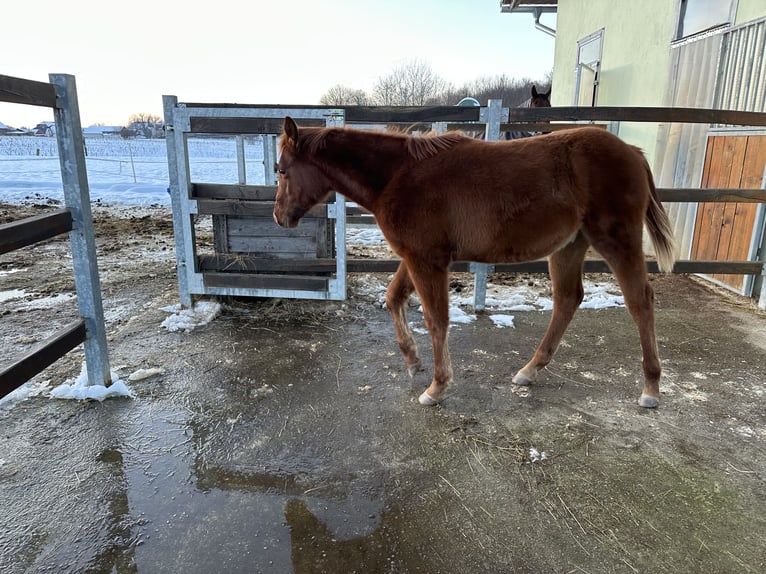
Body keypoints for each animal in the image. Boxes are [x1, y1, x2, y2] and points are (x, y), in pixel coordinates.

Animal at [273, 117, 676, 408]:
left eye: (281, 170)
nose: (279, 217)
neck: (398, 176)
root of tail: (633, 152)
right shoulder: (416, 256)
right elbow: (393, 297)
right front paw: (413, 361)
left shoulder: (428, 261)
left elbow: (436, 319)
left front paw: (437, 387)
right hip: (569, 247)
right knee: (567, 300)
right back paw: (529, 370)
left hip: (616, 241)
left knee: (640, 301)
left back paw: (651, 388)